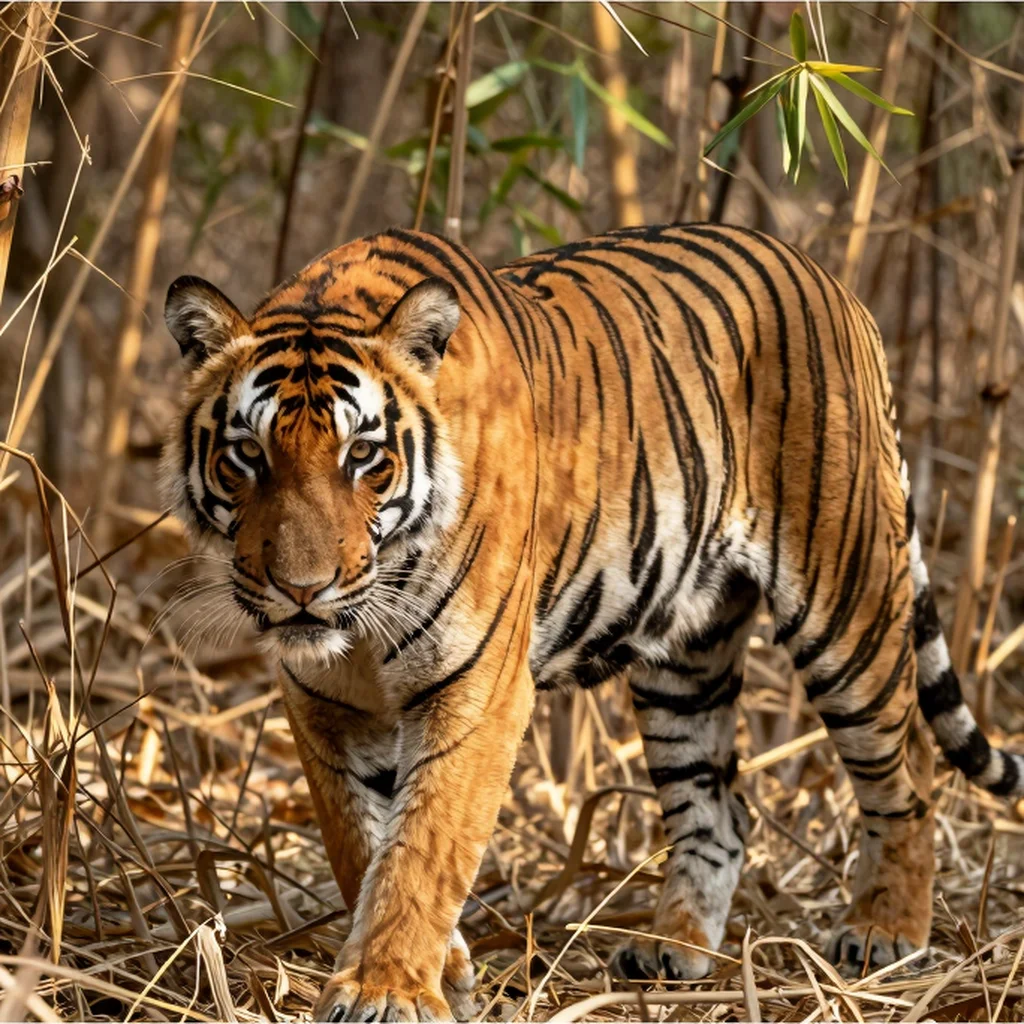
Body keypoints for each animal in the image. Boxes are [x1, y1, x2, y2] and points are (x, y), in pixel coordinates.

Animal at [161, 223, 1024, 1022]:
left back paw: (886, 933)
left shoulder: (477, 689)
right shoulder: (322, 703)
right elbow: (359, 841)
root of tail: (832, 284)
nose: (301, 590)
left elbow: (425, 844)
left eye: (363, 457)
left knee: (908, 775)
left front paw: (388, 989)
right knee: (721, 811)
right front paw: (442, 969)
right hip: (687, 659)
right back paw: (672, 949)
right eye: (248, 454)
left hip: (847, 606)